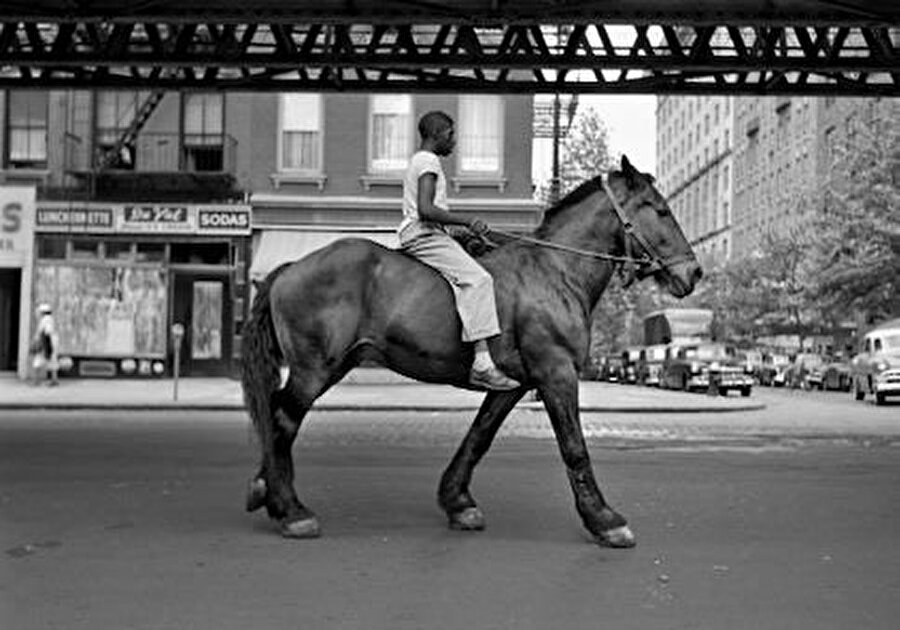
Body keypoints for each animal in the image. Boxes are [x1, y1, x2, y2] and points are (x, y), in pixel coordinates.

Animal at [241, 156, 704, 552]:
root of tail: (291, 267)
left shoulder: (514, 384)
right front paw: (604, 520)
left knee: (277, 415)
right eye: (659, 209)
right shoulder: (556, 373)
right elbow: (573, 446)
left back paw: (267, 491)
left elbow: (479, 436)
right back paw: (290, 509)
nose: (694, 272)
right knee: (282, 418)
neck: (555, 271)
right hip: (314, 369)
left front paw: (457, 501)